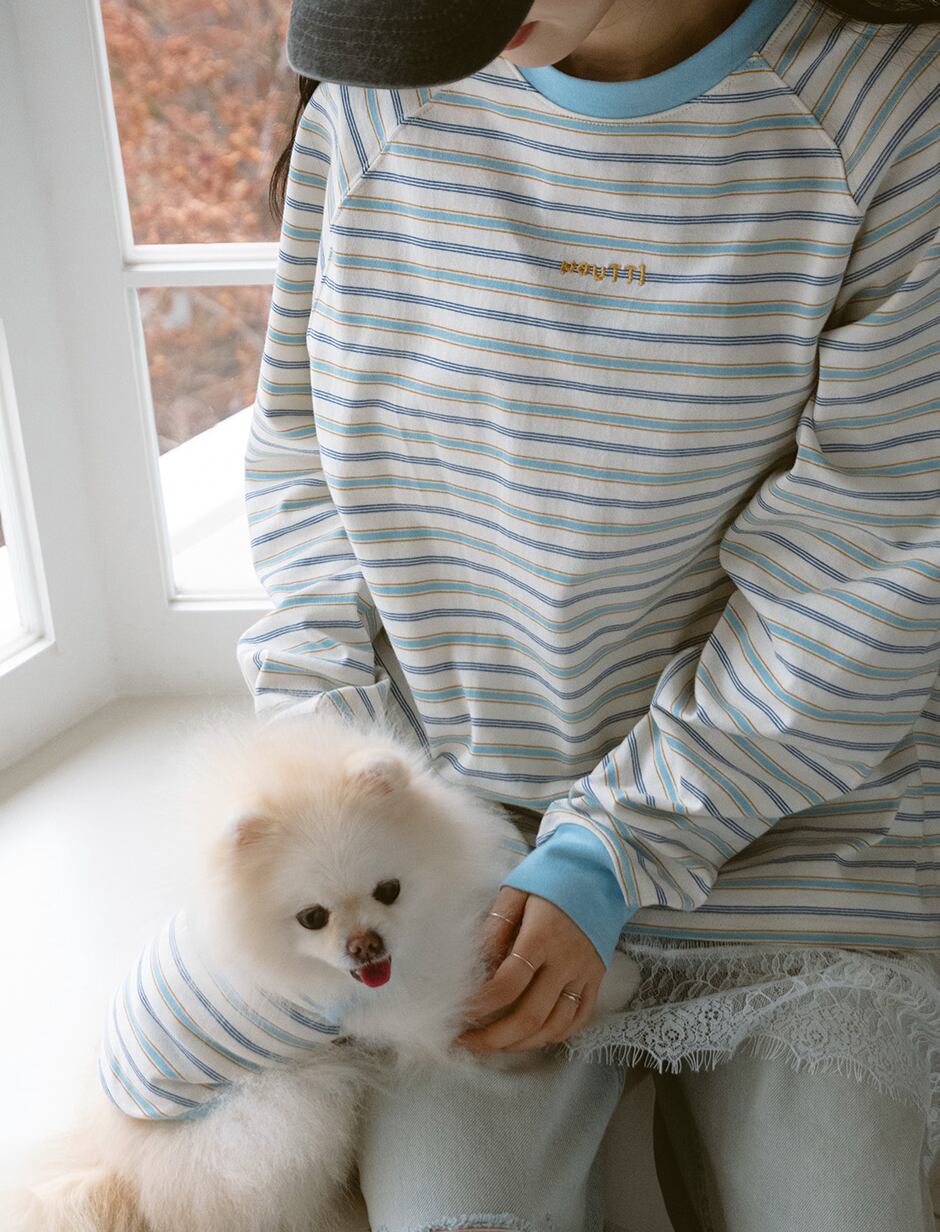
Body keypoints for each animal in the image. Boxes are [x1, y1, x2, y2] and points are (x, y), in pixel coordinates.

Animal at [7, 711, 640, 1231]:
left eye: (389, 890)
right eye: (312, 918)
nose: (365, 945)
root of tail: (125, 1170)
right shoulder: (420, 1006)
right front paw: (616, 979)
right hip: (282, 1110)